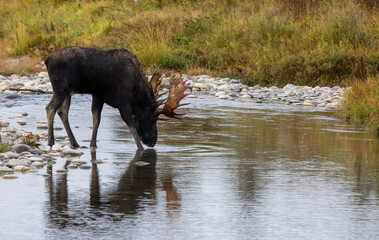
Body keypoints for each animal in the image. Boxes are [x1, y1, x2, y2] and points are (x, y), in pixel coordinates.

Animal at [45, 46, 188, 150]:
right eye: (153, 119)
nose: (153, 141)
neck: (138, 95)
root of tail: (46, 60)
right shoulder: (123, 103)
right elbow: (131, 126)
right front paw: (140, 148)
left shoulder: (98, 96)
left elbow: (96, 120)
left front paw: (93, 145)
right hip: (61, 88)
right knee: (50, 108)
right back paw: (51, 141)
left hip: (68, 92)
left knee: (62, 112)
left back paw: (74, 143)